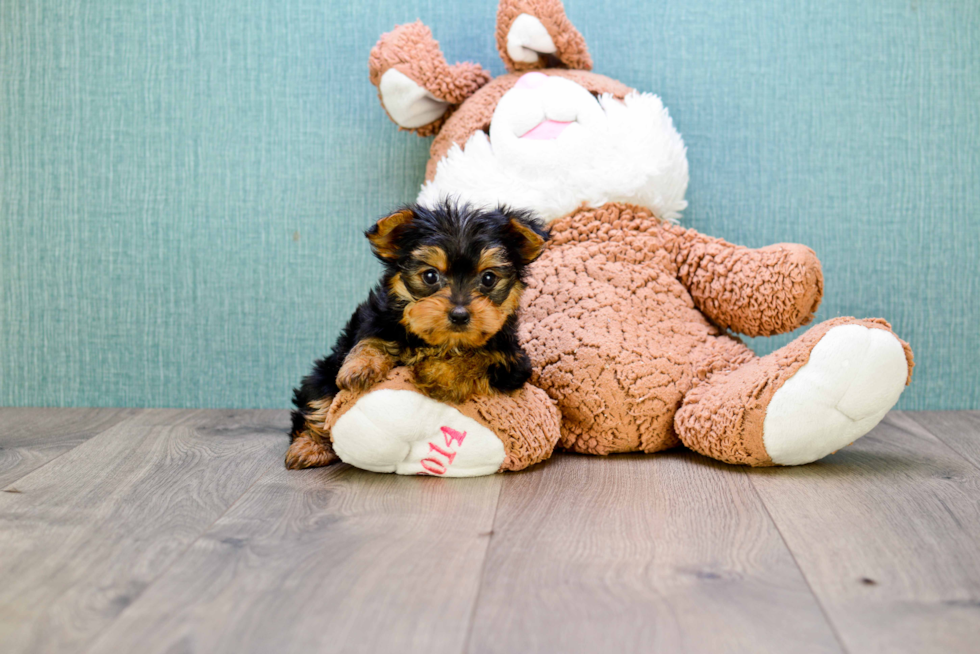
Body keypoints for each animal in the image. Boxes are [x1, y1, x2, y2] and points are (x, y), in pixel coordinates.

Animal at [290, 202, 552, 468]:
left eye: (488, 278)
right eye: (430, 276)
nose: (459, 315)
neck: (443, 342)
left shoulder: (512, 359)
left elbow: (478, 358)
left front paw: (436, 374)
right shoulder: (377, 321)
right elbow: (370, 340)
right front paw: (360, 367)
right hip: (322, 374)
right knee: (319, 404)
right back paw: (309, 447)